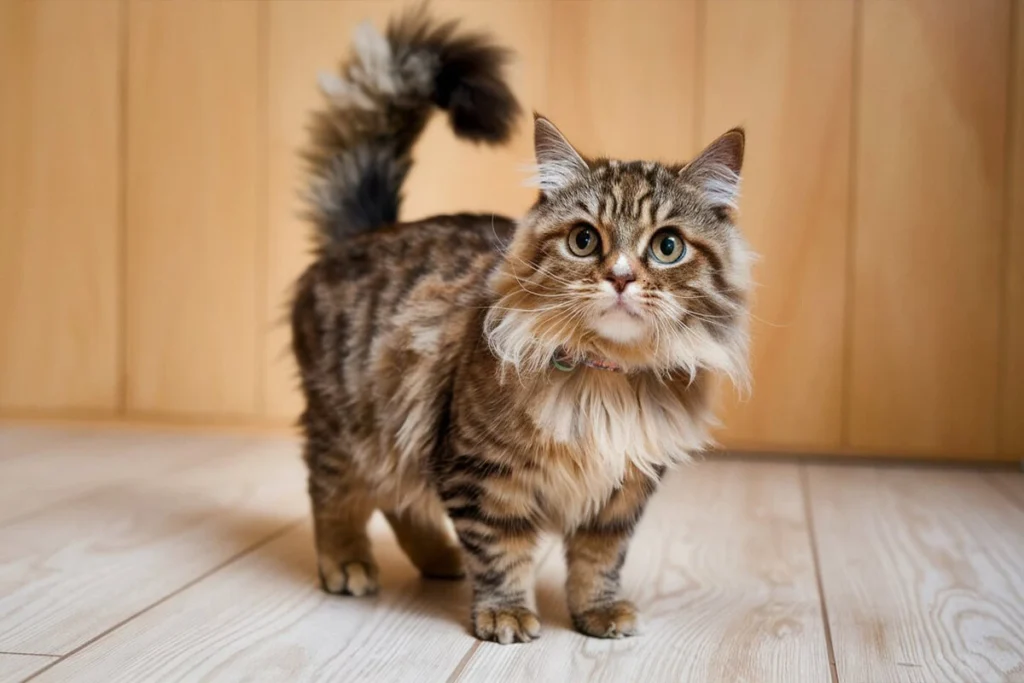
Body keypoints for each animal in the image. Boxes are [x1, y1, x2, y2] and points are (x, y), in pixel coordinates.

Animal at [292, 6, 749, 647]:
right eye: (584, 240)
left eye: (667, 247)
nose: (621, 277)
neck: (604, 381)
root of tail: (366, 231)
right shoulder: (483, 471)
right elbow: (501, 551)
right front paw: (505, 614)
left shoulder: (623, 493)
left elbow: (598, 560)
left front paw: (598, 613)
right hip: (352, 419)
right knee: (334, 489)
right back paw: (348, 562)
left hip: (402, 426)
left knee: (400, 498)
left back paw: (439, 561)